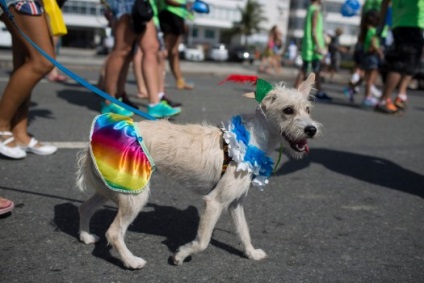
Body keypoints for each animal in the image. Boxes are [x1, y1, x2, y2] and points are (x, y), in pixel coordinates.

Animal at [77, 72, 322, 270]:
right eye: (288, 110)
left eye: (308, 109)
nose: (312, 130)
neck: (252, 139)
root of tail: (93, 140)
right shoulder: (214, 202)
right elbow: (203, 241)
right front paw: (181, 255)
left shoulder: (235, 203)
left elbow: (244, 232)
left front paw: (251, 253)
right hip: (135, 194)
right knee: (113, 232)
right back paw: (131, 261)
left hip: (114, 188)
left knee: (85, 207)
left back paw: (86, 236)